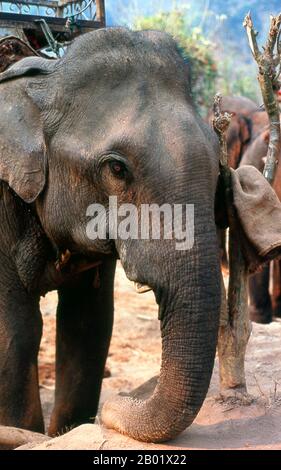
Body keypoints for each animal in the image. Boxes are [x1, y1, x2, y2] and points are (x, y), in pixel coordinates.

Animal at [0, 27, 222, 442]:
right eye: (117, 169)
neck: (44, 76)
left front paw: (69, 429)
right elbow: (16, 330)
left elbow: (88, 323)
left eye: (219, 158)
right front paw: (24, 432)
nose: (115, 405)